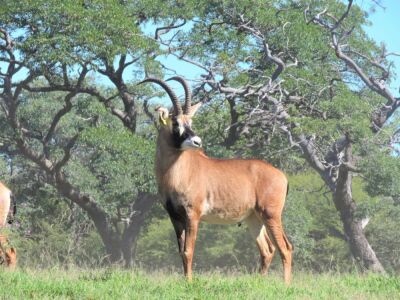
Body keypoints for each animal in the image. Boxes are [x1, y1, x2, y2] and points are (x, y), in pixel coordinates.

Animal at [139, 77, 292, 284]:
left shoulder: (192, 215)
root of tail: (281, 176)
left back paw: (286, 285)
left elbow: (188, 251)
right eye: (175, 122)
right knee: (267, 250)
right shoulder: (175, 217)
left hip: (271, 214)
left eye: (190, 121)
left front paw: (189, 283)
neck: (177, 171)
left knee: (285, 248)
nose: (197, 141)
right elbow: (180, 252)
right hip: (254, 218)